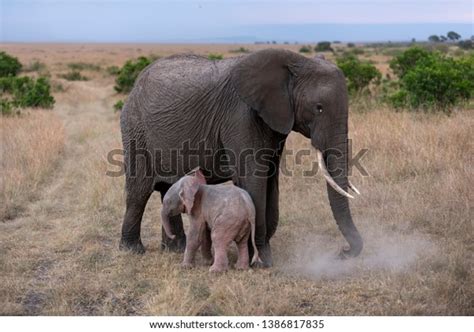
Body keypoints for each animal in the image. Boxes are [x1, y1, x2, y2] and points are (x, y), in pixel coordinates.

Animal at [118, 48, 362, 268]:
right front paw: (262, 261)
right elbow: (254, 180)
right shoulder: (240, 116)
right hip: (135, 129)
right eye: (319, 108)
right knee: (139, 192)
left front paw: (257, 254)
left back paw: (175, 248)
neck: (295, 62)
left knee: (167, 188)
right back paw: (132, 250)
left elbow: (270, 181)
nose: (343, 251)